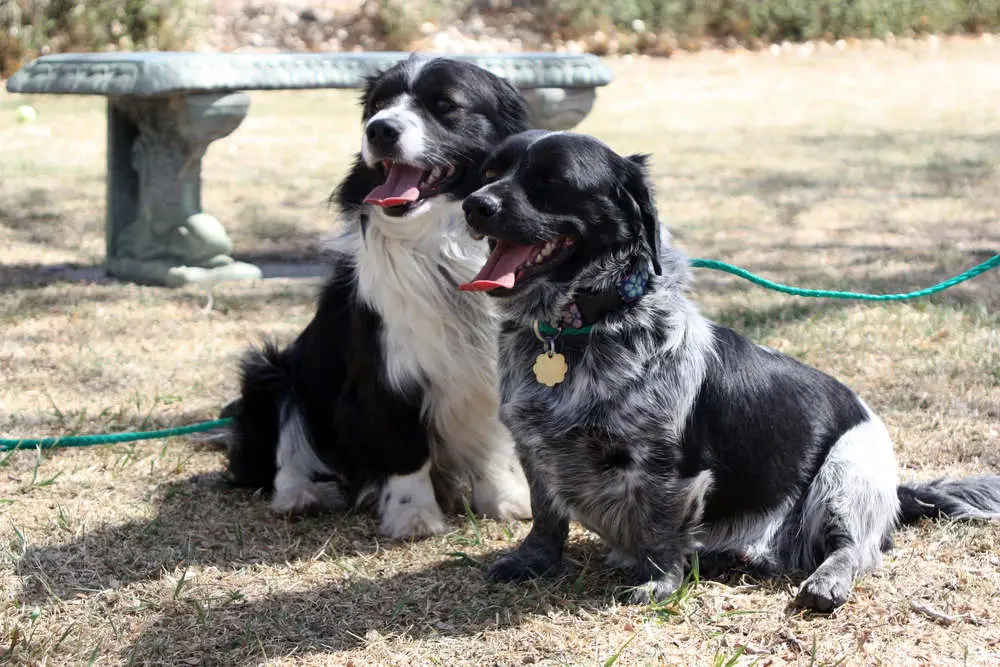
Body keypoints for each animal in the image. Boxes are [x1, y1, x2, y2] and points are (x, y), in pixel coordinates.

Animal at [228, 56, 536, 536]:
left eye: (446, 105)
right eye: (376, 105)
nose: (379, 130)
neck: (439, 245)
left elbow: (495, 440)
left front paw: (505, 500)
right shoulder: (388, 366)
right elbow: (404, 447)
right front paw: (413, 516)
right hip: (270, 373)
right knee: (286, 450)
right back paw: (301, 495)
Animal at [458, 128, 1000, 612]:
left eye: (550, 180)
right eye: (488, 174)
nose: (473, 206)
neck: (584, 329)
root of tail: (895, 491)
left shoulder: (669, 467)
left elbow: (661, 526)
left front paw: (658, 582)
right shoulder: (534, 449)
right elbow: (545, 515)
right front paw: (534, 560)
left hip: (846, 473)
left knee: (857, 548)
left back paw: (826, 582)